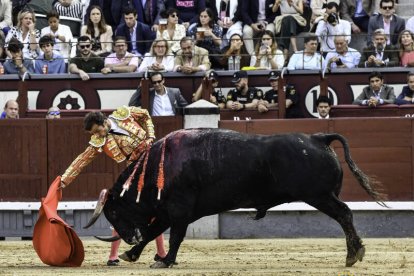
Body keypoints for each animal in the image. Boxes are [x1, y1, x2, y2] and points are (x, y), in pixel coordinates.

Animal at [85, 129, 384, 268]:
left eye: (113, 212)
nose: (127, 237)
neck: (158, 165)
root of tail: (317, 137)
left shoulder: (179, 210)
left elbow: (173, 236)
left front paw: (165, 260)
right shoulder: (171, 212)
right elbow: (151, 232)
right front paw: (132, 254)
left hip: (320, 196)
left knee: (344, 214)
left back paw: (353, 254)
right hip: (321, 195)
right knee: (344, 215)